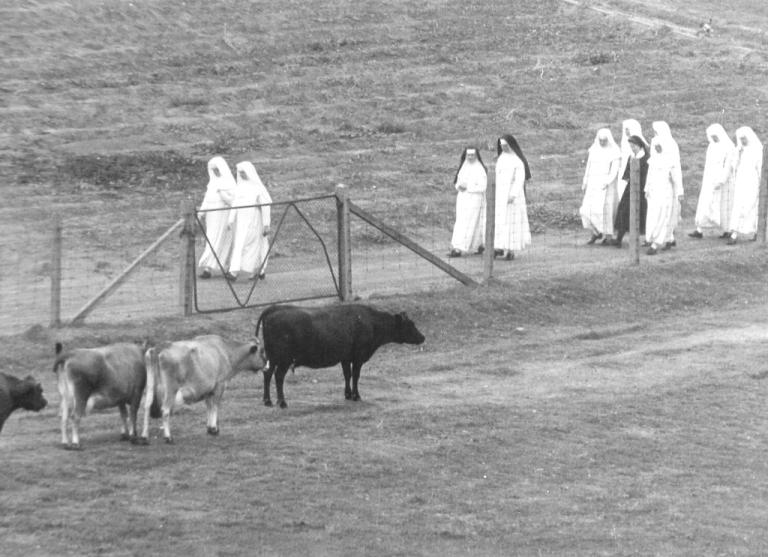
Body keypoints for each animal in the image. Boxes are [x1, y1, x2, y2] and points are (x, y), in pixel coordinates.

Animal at [254, 304, 426, 408]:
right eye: (411, 325)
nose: (423, 337)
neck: (371, 322)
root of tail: (275, 308)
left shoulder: (345, 358)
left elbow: (347, 375)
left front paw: (348, 394)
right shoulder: (358, 357)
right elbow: (355, 375)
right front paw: (356, 396)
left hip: (272, 357)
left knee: (267, 374)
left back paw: (267, 400)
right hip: (283, 358)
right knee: (278, 376)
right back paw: (282, 402)